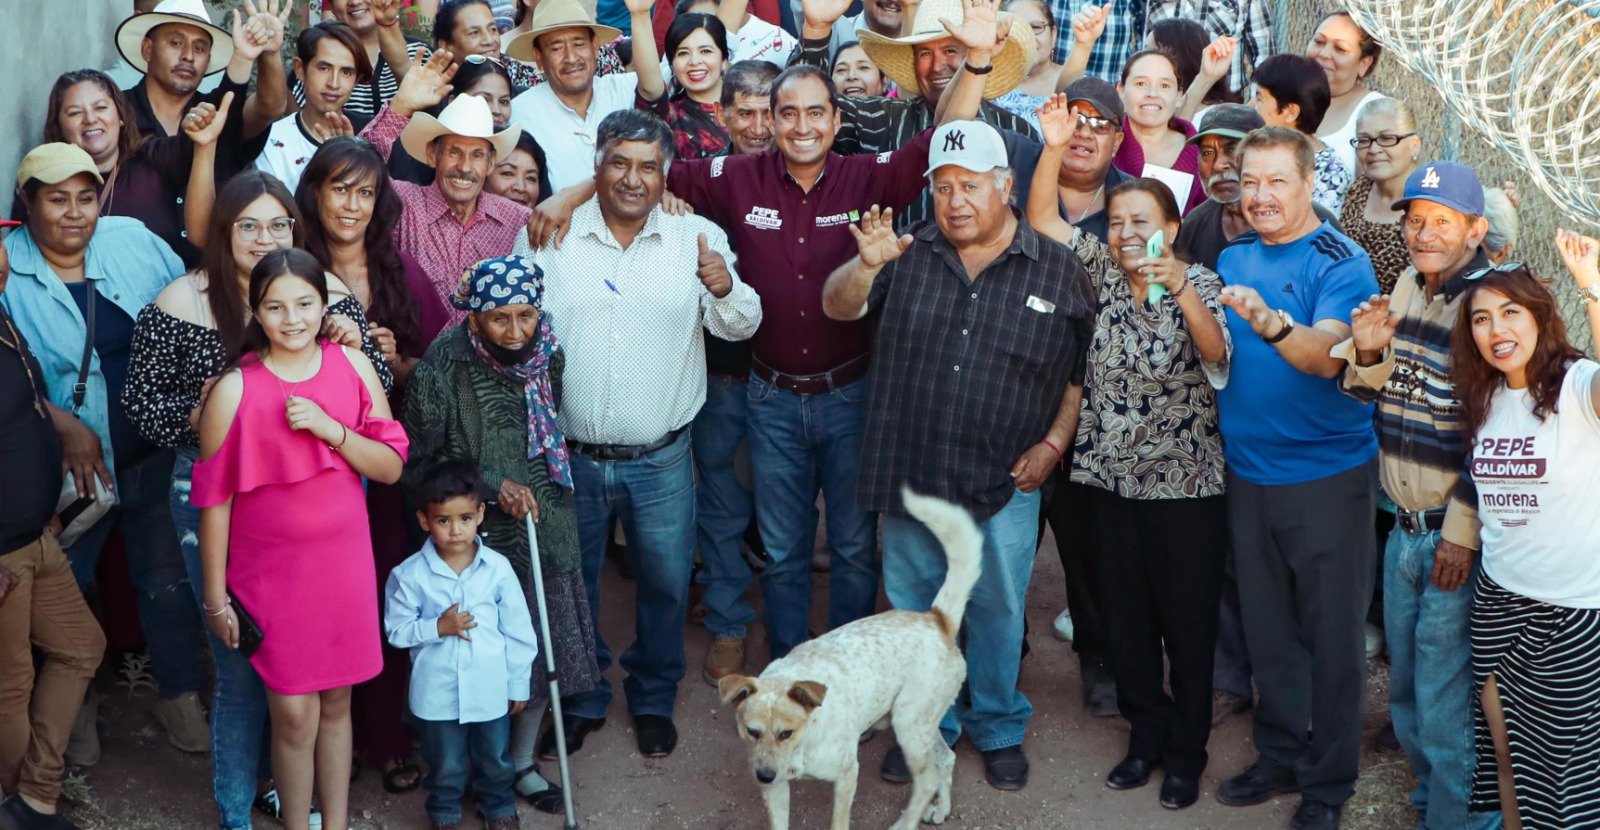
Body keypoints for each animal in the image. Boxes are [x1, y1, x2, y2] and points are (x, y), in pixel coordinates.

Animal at [720, 489, 979, 830]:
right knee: (946, 759)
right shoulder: (776, 790)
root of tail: (937, 619)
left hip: (909, 726)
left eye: (785, 733)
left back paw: (905, 823)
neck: (807, 736)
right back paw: (941, 808)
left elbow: (839, 822)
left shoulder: (846, 775)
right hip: (917, 722)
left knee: (927, 780)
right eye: (751, 731)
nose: (763, 775)